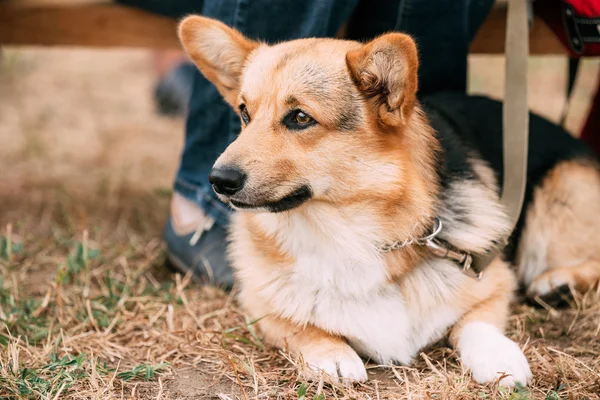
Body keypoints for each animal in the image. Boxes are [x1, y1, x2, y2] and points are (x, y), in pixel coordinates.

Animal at [177, 16, 600, 388]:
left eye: (299, 118)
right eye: (244, 114)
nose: (218, 180)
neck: (344, 232)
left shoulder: (492, 277)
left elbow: (476, 322)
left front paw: (499, 358)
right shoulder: (259, 303)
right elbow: (298, 324)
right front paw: (332, 355)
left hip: (560, 198)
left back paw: (558, 282)